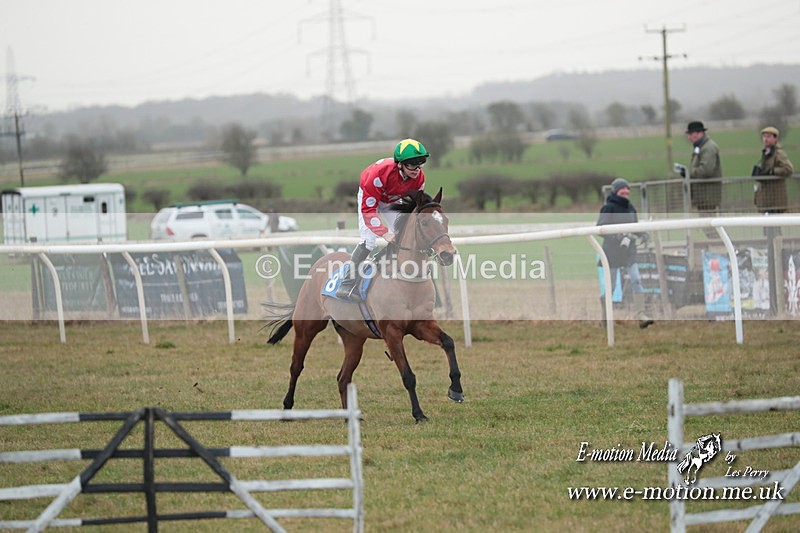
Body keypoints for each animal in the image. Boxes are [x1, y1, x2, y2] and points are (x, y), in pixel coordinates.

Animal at [265, 188, 464, 423]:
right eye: (424, 223)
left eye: (446, 220)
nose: (447, 254)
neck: (406, 279)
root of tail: (318, 264)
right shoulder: (392, 332)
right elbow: (408, 375)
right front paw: (418, 414)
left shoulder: (421, 325)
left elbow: (448, 342)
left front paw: (456, 389)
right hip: (307, 328)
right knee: (296, 366)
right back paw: (287, 409)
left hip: (353, 337)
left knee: (343, 377)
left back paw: (349, 417)